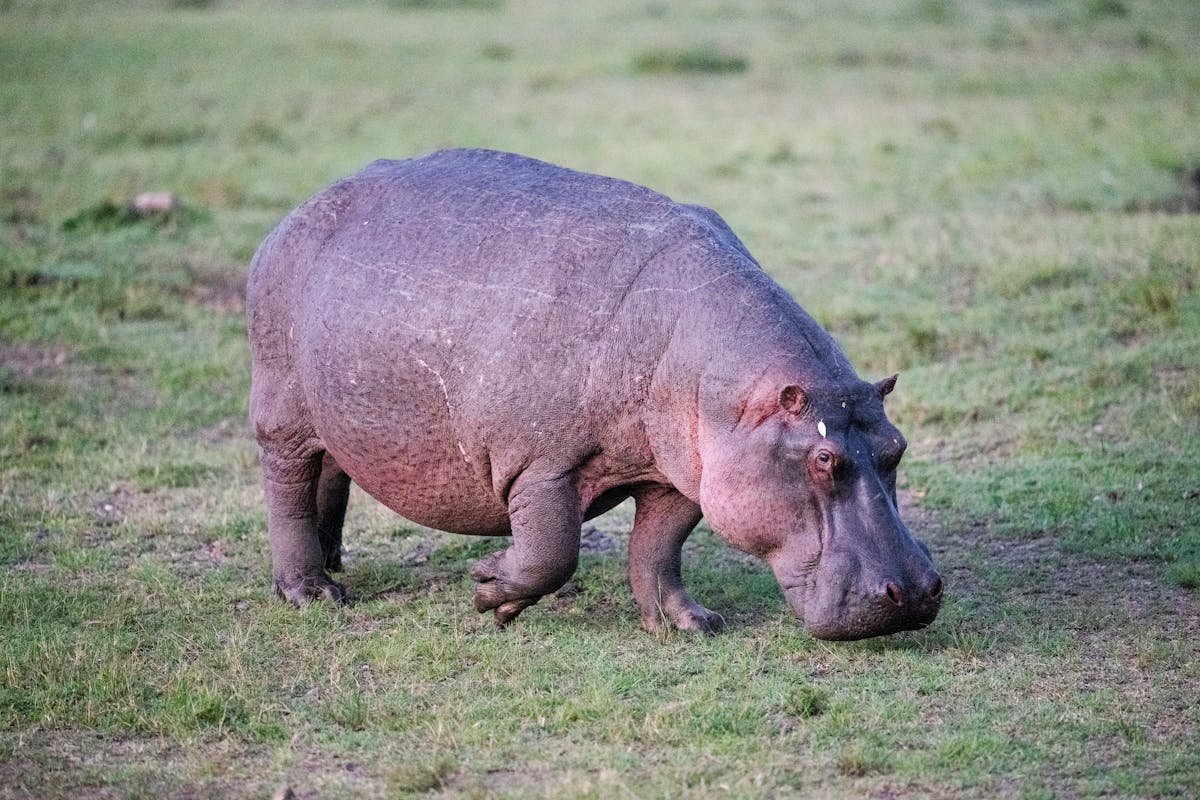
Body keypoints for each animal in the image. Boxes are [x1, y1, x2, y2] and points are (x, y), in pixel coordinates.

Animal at [246, 148, 941, 640]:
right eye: (824, 459)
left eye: (897, 446)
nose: (915, 592)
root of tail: (296, 212)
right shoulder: (541, 466)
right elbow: (553, 553)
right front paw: (490, 591)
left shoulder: (678, 476)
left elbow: (658, 551)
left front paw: (692, 624)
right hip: (281, 410)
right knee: (288, 487)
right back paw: (314, 594)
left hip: (337, 412)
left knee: (331, 472)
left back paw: (334, 561)